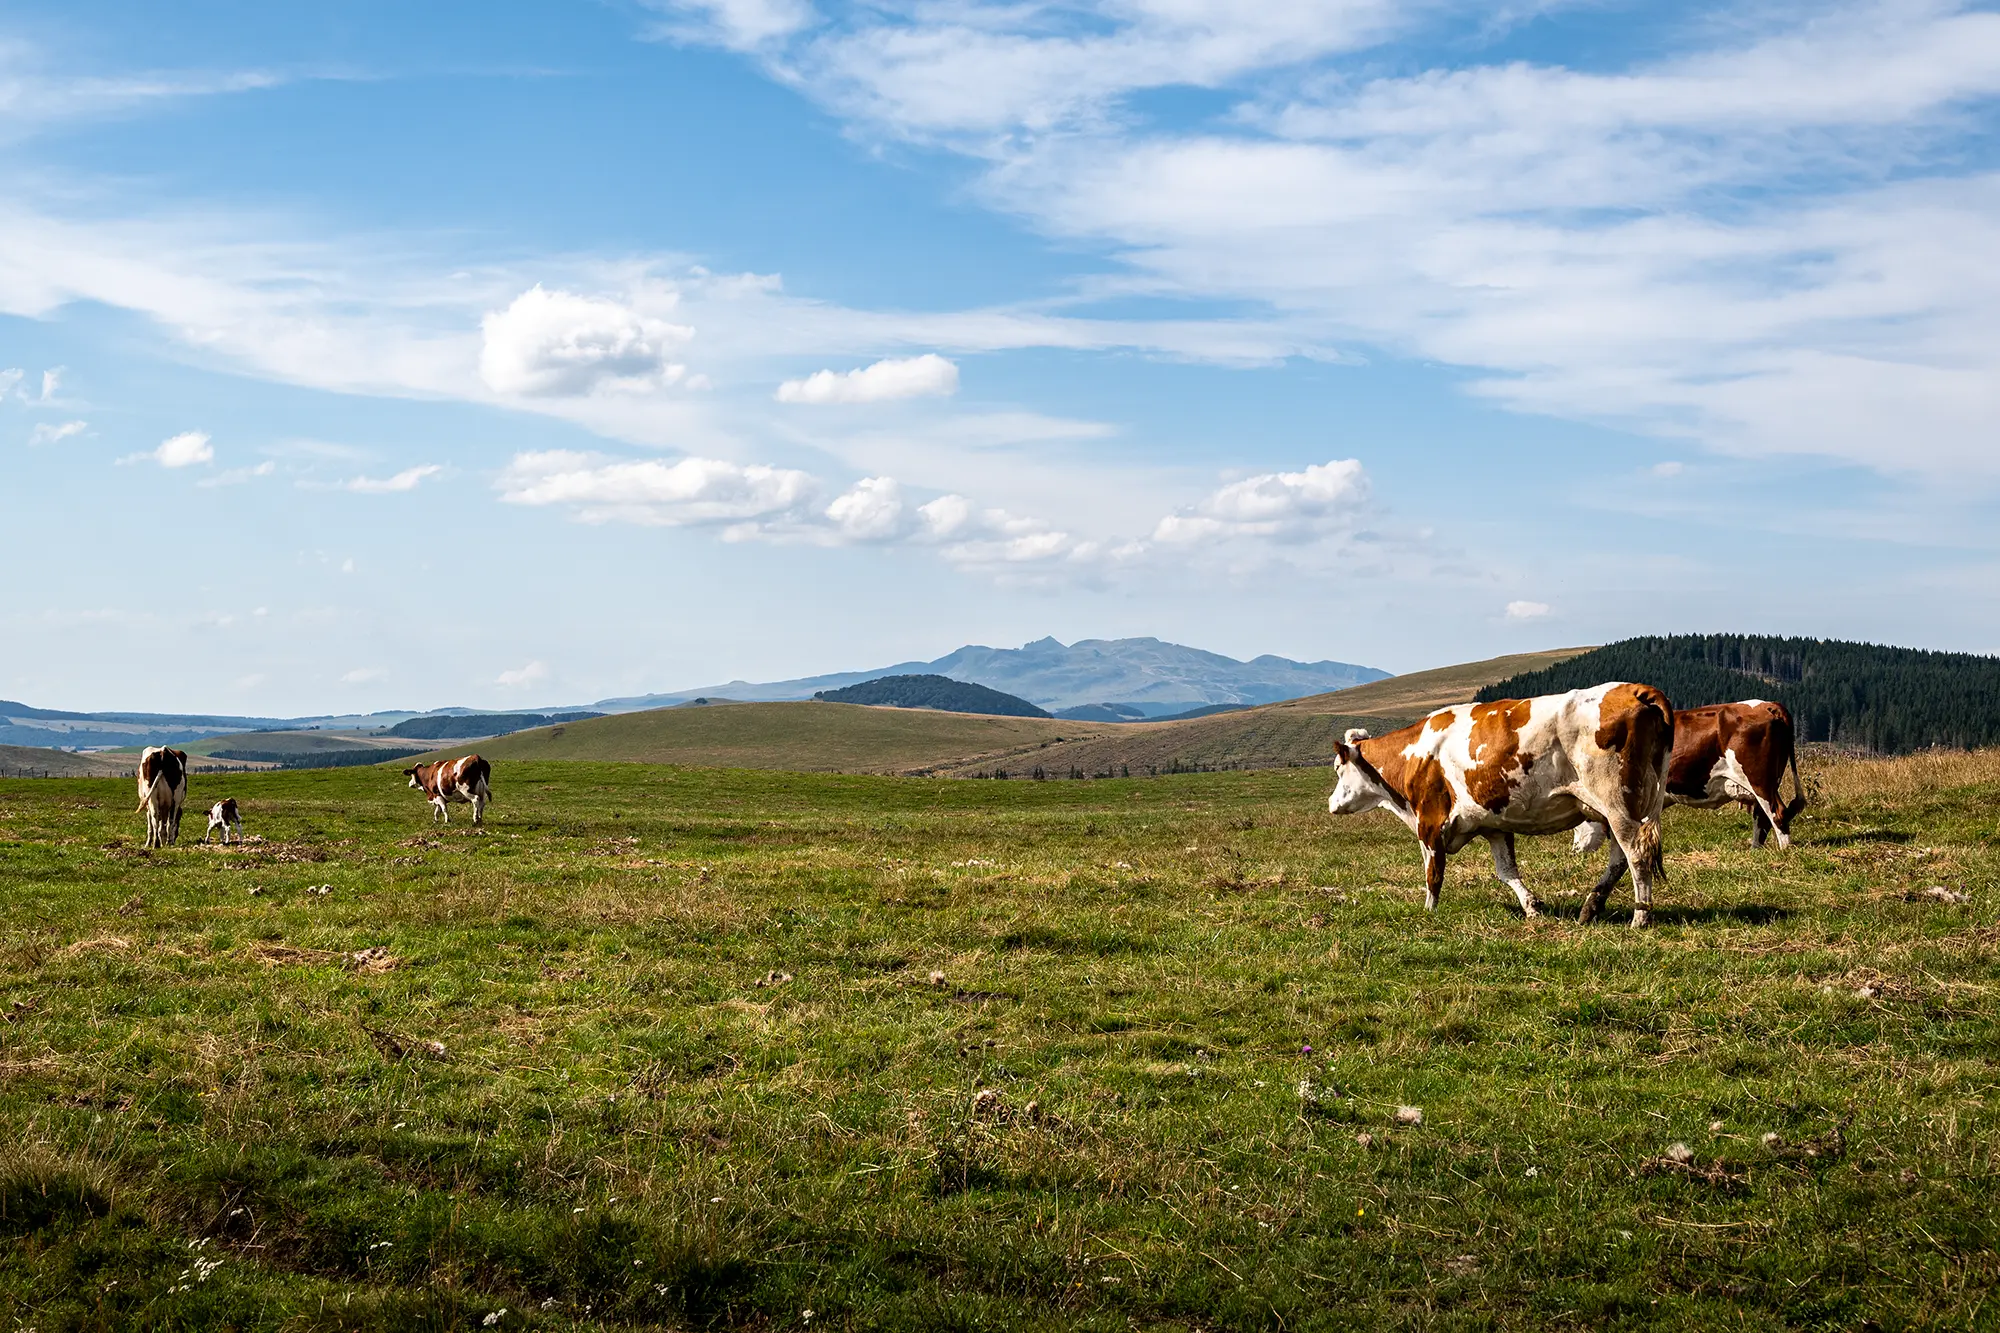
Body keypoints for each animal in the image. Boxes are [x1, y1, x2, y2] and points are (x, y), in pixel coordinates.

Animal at [1336, 680, 1680, 920]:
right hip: (1622, 809)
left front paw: (1429, 911)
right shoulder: (1494, 825)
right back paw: (1592, 906)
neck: (1418, 752)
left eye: (1339, 769)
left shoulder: (1430, 821)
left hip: (1617, 804)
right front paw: (1532, 906)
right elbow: (1507, 871)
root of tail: (1634, 689)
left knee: (1636, 855)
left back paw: (1640, 916)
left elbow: (1433, 872)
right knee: (1620, 859)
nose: (1332, 803)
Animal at [1576, 696, 1816, 852]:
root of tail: (1769, 705)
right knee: (1762, 817)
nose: (1575, 849)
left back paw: (1783, 850)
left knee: (1777, 814)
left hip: (1760, 780)